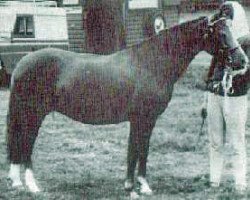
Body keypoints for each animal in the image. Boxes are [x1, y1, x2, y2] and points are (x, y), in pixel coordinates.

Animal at [5, 16, 248, 196]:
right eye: (221, 34)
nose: (242, 61)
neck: (153, 63)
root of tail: (21, 64)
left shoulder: (140, 120)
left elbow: (136, 150)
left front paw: (133, 185)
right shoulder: (144, 119)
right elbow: (139, 150)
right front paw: (139, 187)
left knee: (18, 143)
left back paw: (17, 182)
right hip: (34, 115)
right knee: (25, 143)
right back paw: (32, 186)